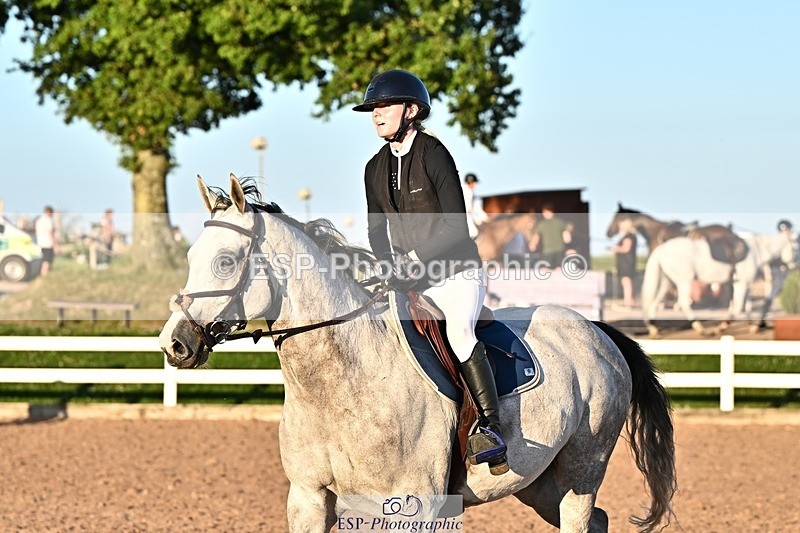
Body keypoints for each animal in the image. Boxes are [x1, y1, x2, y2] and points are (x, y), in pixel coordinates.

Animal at [160, 175, 676, 532]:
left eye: (226, 261)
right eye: (190, 257)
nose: (174, 344)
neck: (341, 386)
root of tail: (596, 331)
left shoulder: (412, 506)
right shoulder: (307, 498)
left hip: (581, 471)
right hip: (539, 484)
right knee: (598, 520)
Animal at [641, 232, 798, 337]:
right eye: (796, 248)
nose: (793, 265)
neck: (757, 251)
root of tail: (661, 249)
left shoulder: (742, 283)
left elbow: (747, 305)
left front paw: (752, 326)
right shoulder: (741, 283)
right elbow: (738, 307)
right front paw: (722, 327)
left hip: (666, 280)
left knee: (654, 302)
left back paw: (654, 328)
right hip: (684, 280)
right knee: (684, 303)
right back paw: (700, 328)